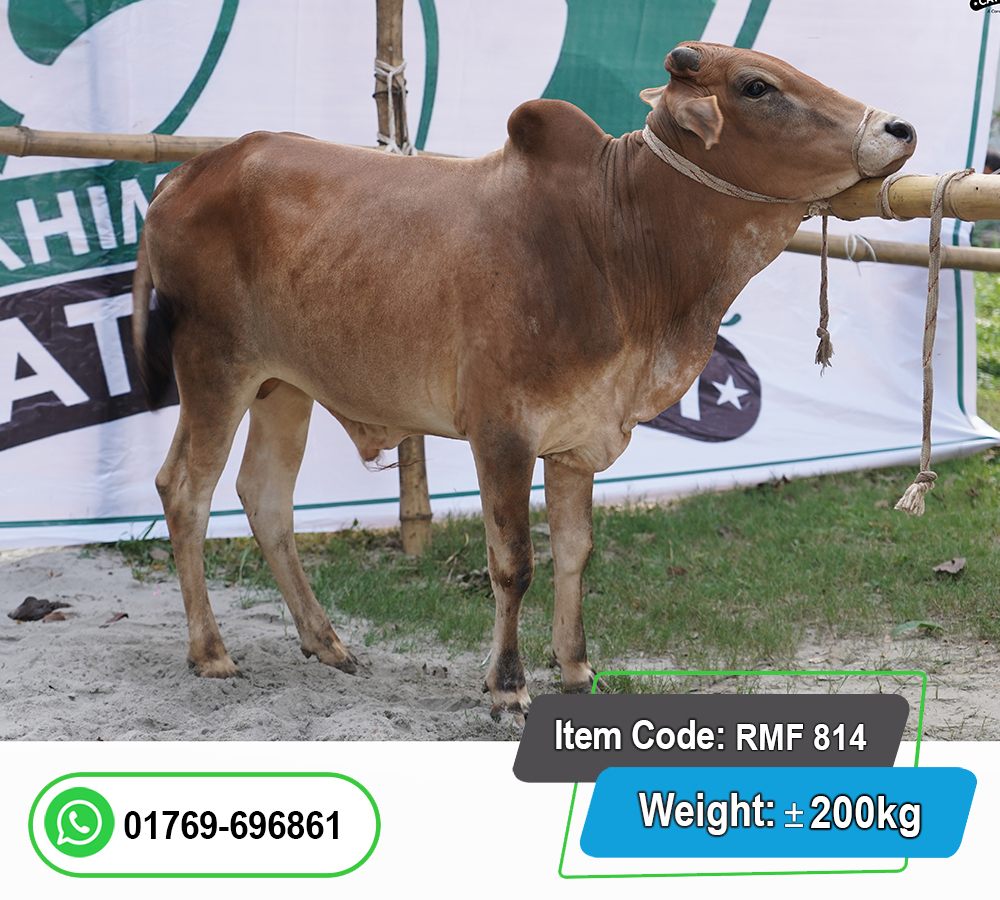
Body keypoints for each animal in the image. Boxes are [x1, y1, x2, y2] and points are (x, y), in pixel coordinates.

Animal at [132, 42, 915, 721]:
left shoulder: (577, 439)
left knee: (265, 497)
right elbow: (514, 561)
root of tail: (186, 173)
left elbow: (575, 553)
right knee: (186, 491)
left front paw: (575, 668)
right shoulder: (502, 432)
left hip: (283, 386)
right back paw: (211, 651)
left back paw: (325, 641)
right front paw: (507, 685)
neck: (616, 235)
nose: (899, 128)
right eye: (758, 87)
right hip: (214, 366)